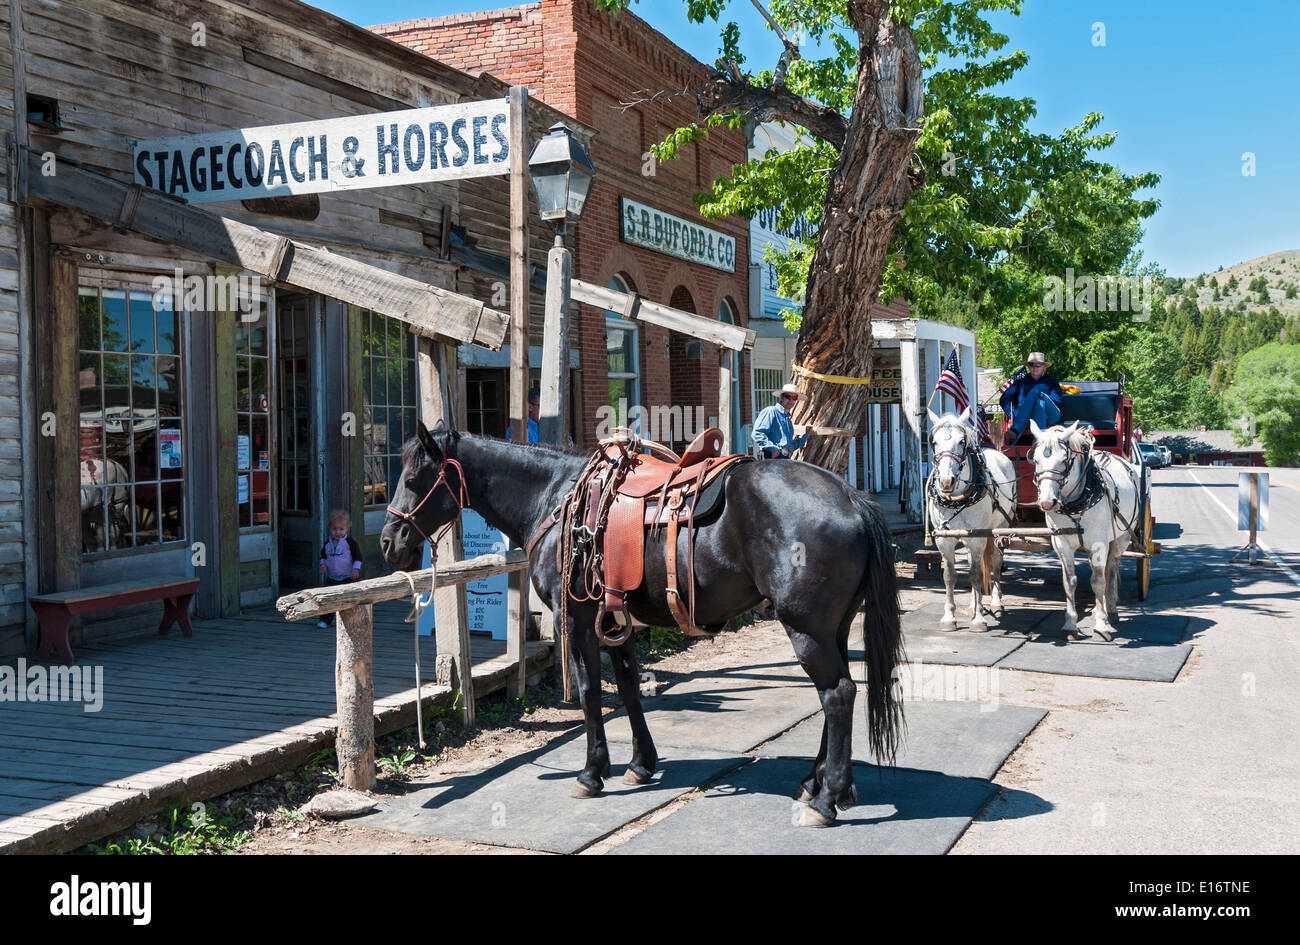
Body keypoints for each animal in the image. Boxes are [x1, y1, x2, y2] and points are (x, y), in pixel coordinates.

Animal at [379, 421, 899, 826]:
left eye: (413, 476)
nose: (388, 541)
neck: (552, 498)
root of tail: (851, 497)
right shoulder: (614, 619)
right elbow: (628, 688)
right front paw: (640, 764)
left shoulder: (579, 621)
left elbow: (590, 693)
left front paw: (592, 773)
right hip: (831, 628)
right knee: (838, 693)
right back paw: (818, 783)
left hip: (807, 630)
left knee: (837, 695)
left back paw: (828, 799)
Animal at [925, 410, 1013, 631]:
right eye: (934, 442)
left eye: (962, 441)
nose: (946, 481)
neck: (957, 499)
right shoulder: (944, 539)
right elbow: (950, 576)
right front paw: (949, 617)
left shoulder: (978, 538)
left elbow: (975, 575)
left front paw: (979, 619)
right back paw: (975, 605)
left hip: (999, 530)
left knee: (995, 563)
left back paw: (996, 604)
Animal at [1029, 421, 1144, 642]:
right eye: (1036, 459)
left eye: (1064, 460)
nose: (1047, 502)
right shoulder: (1062, 545)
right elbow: (1069, 583)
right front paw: (1070, 624)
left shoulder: (1099, 544)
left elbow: (1098, 582)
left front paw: (1101, 625)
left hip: (1121, 537)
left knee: (1112, 567)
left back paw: (1111, 609)